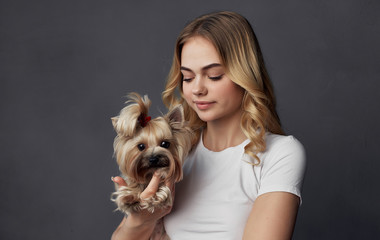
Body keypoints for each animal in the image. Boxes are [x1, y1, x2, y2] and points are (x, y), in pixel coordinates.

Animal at [110, 93, 193, 237]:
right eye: (141, 146)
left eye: (165, 144)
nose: (153, 158)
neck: (149, 175)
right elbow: (132, 185)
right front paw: (129, 196)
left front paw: (155, 196)